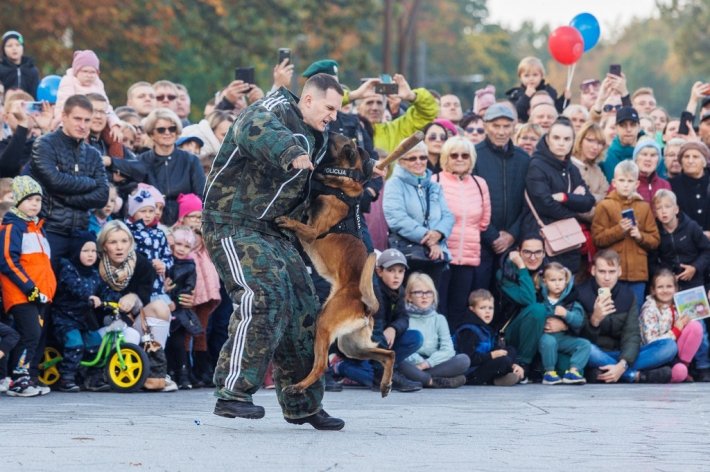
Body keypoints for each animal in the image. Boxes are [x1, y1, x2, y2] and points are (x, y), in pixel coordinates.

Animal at [276, 134, 394, 398]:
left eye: (336, 139)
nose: (326, 130)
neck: (342, 181)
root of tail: (365, 306)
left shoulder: (313, 231)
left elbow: (300, 223)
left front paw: (287, 220)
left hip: (325, 324)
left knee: (320, 366)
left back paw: (298, 386)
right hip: (352, 346)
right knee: (389, 354)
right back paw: (385, 384)